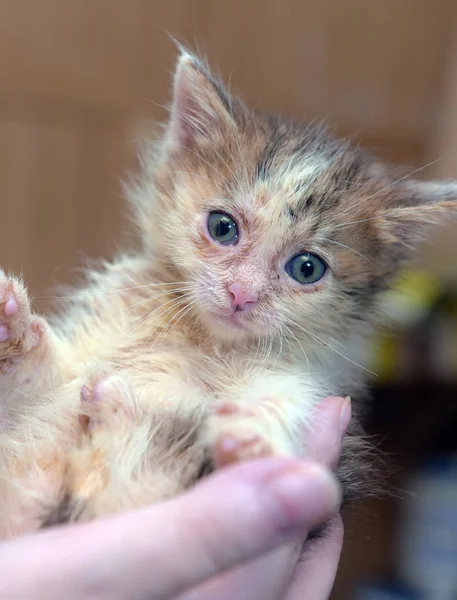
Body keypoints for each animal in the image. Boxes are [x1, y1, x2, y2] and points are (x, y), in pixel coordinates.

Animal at [0, 51, 456, 536]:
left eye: (307, 267)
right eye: (223, 227)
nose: (241, 293)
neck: (201, 339)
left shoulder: (306, 381)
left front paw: (252, 436)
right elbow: (41, 385)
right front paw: (14, 332)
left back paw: (117, 409)